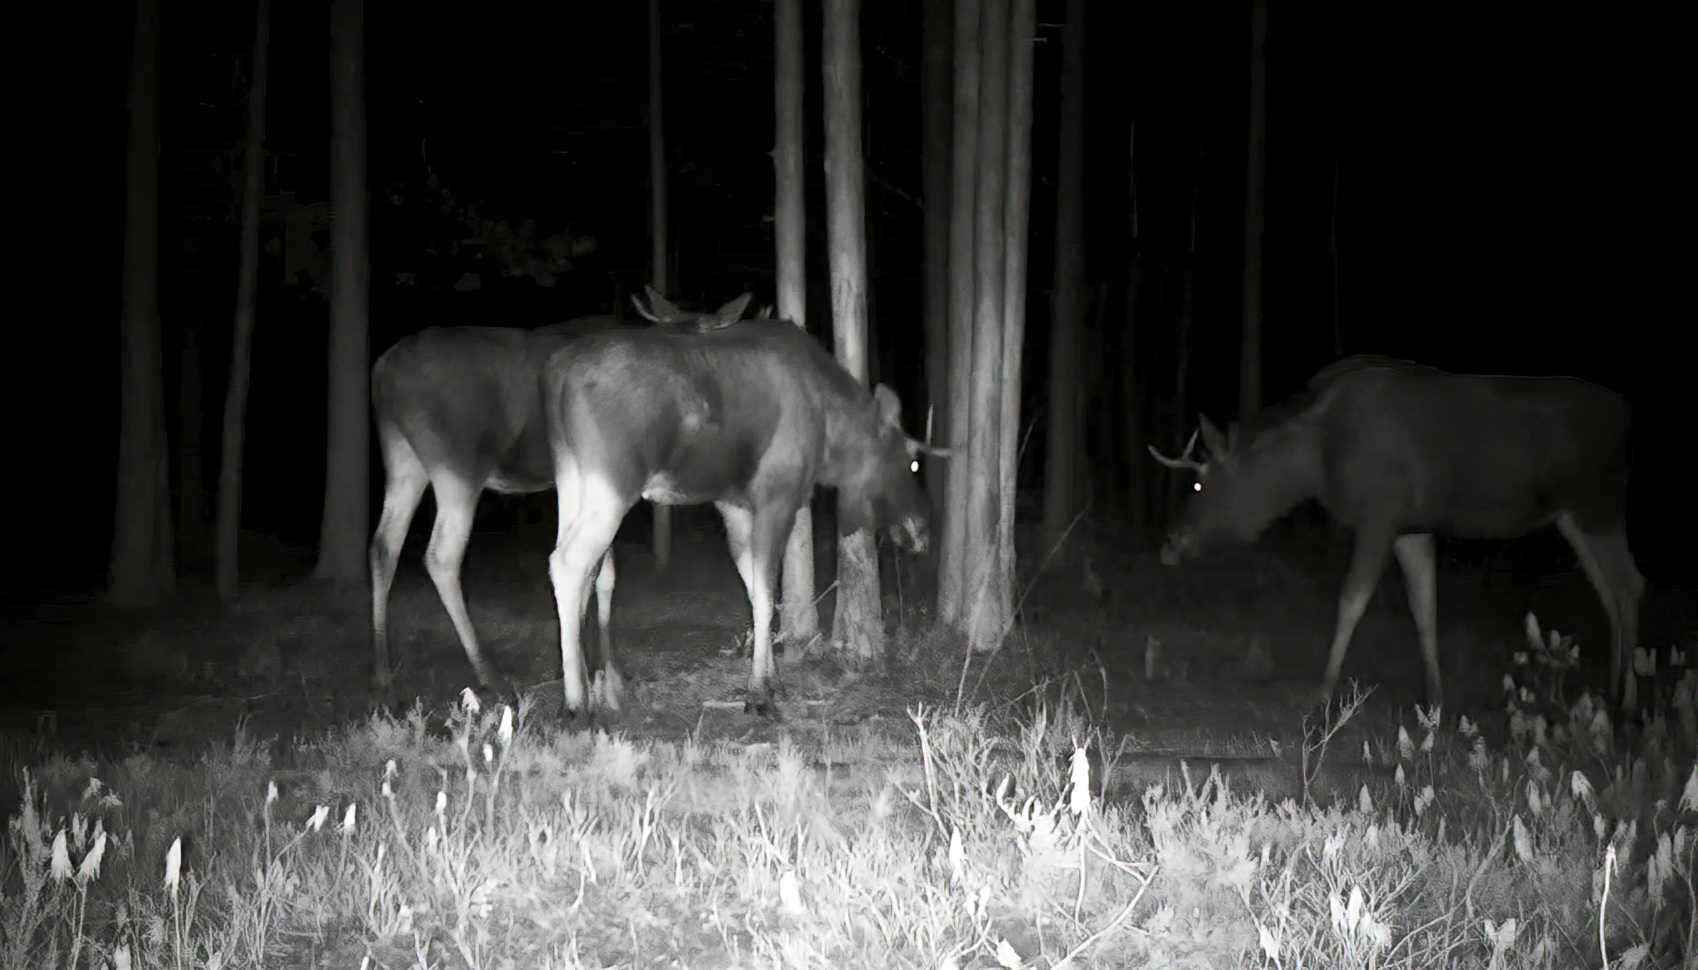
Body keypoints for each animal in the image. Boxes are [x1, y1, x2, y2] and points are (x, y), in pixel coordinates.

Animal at [368, 285, 753, 693]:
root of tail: (382, 370)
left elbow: (600, 574)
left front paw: (592, 664)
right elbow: (599, 573)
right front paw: (601, 670)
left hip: (402, 457)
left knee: (383, 545)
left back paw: (382, 669)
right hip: (457, 464)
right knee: (441, 555)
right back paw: (486, 670)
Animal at [543, 314, 937, 716]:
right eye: (913, 461)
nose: (924, 525)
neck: (832, 439)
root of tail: (556, 374)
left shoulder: (734, 505)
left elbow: (753, 589)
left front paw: (773, 679)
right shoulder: (777, 496)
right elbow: (765, 593)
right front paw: (759, 692)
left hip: (570, 479)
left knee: (589, 572)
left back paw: (595, 689)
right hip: (612, 484)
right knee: (568, 562)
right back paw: (575, 703)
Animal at [1154, 356, 1643, 713]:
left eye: (1198, 484)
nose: (1170, 544)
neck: (1314, 459)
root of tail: (1627, 415)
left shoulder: (1379, 516)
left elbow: (1351, 599)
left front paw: (1322, 692)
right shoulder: (1411, 527)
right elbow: (1424, 606)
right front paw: (1434, 700)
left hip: (1598, 506)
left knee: (1628, 585)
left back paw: (1627, 702)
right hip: (1572, 518)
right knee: (1608, 590)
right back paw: (1612, 689)